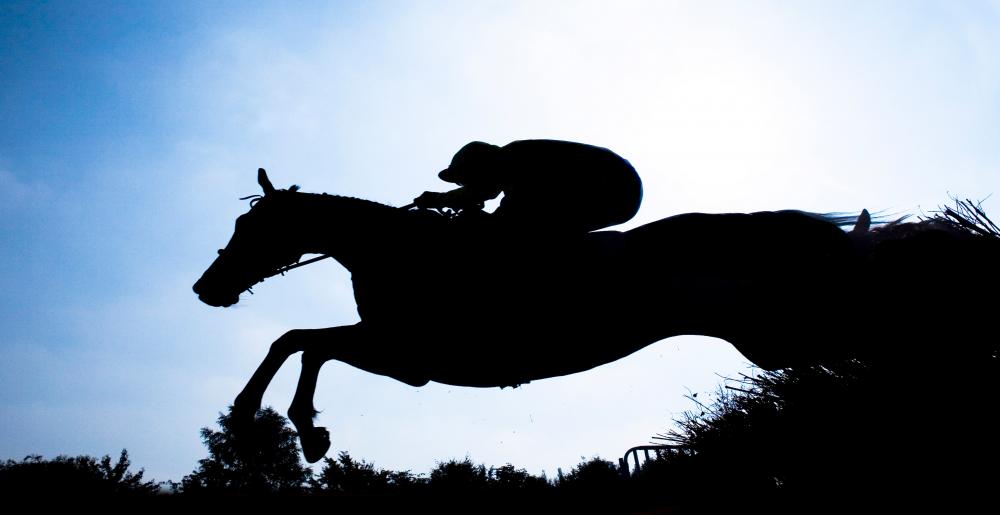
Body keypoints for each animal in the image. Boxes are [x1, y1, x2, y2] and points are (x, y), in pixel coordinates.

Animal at [193, 168, 992, 464]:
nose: (207, 288)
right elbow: (304, 342)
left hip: (793, 331)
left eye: (249, 229)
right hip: (779, 337)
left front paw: (273, 416)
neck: (399, 252)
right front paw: (300, 426)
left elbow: (300, 340)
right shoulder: (401, 351)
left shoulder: (410, 354)